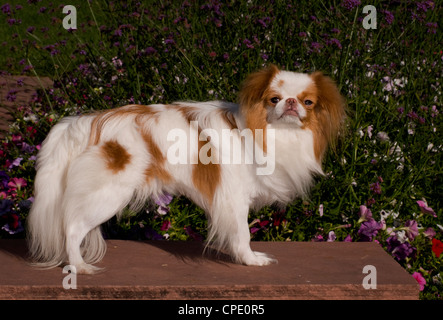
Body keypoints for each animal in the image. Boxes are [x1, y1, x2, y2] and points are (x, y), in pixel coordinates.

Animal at [26, 64, 346, 272]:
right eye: (275, 100)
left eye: (308, 102)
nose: (291, 103)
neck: (273, 134)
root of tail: (85, 123)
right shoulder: (233, 198)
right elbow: (243, 234)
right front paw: (250, 260)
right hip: (108, 194)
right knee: (72, 228)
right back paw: (78, 266)